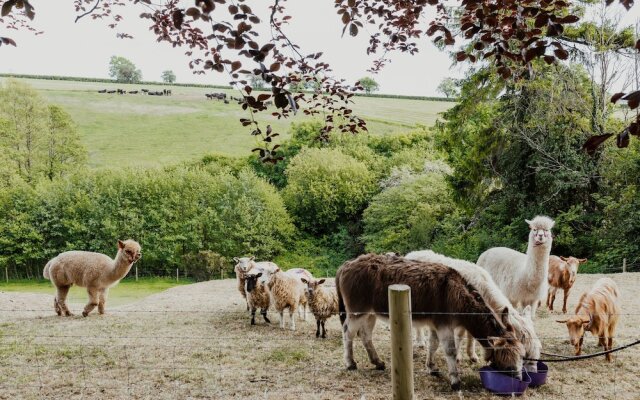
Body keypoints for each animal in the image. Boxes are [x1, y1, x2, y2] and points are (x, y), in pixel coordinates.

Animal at [336, 255, 524, 390]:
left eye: (521, 356)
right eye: (506, 356)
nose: (518, 379)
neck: (456, 294)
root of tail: (348, 263)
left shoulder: (436, 324)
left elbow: (433, 345)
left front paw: (431, 367)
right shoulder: (445, 326)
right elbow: (450, 351)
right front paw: (455, 380)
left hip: (370, 313)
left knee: (365, 335)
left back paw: (377, 362)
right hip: (357, 311)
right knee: (348, 332)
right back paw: (350, 363)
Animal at [404, 250, 540, 372]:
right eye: (525, 354)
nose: (533, 370)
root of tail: (412, 253)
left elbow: (471, 336)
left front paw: (472, 355)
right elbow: (460, 335)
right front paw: (458, 357)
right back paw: (420, 342)